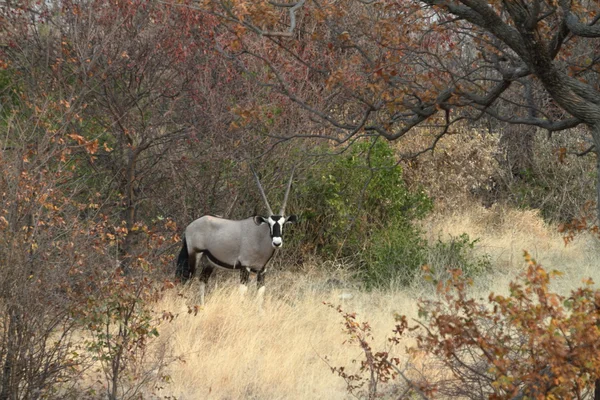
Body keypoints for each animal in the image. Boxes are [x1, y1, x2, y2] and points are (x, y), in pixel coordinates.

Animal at [175, 166, 296, 306]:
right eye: (269, 224)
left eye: (283, 224)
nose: (277, 243)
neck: (260, 237)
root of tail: (190, 226)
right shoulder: (245, 267)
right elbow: (243, 294)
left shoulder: (262, 271)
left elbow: (260, 297)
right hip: (195, 255)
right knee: (186, 279)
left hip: (209, 261)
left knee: (202, 280)